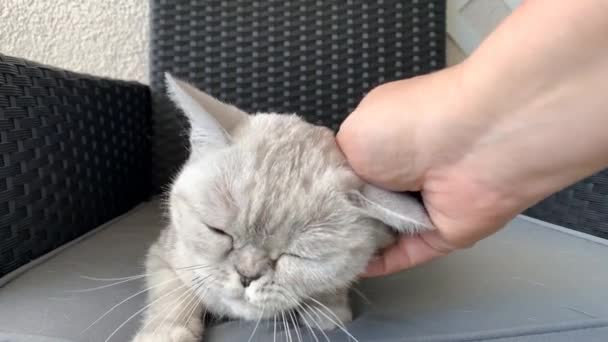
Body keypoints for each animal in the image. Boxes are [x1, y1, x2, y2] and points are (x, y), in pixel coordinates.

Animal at [132, 73, 432, 340]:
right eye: (217, 231)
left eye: (298, 255)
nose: (247, 275)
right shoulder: (163, 253)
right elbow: (173, 294)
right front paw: (165, 333)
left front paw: (328, 309)